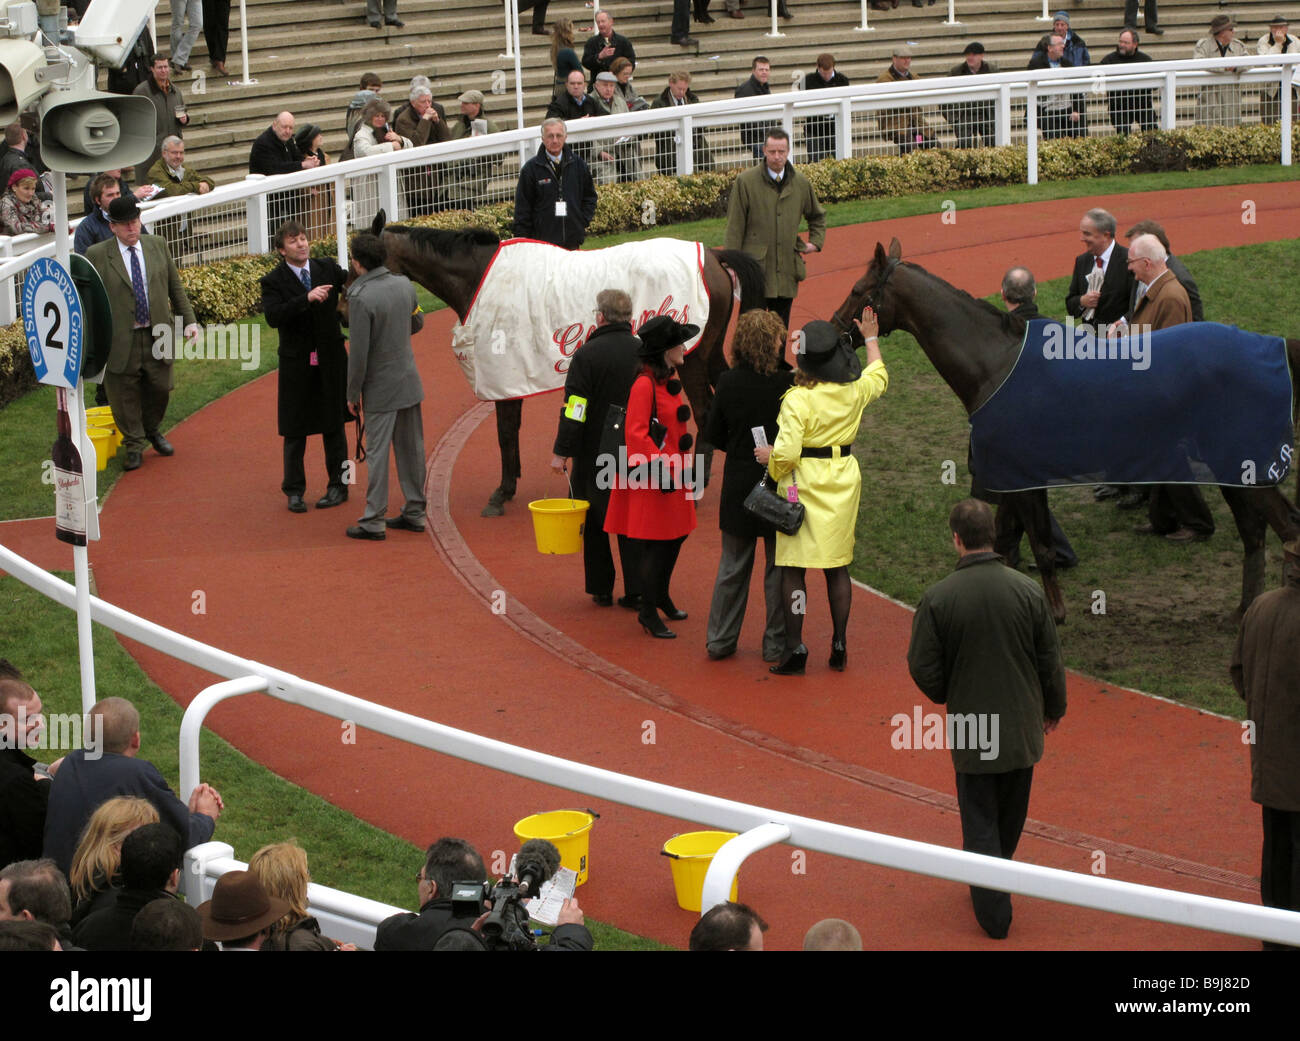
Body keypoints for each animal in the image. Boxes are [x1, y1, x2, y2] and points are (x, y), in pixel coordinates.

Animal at [366, 211, 764, 514]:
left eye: (360, 262)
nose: (352, 301)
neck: (480, 277)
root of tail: (711, 254)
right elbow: (512, 430)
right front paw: (513, 482)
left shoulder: (503, 371)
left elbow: (505, 432)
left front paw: (502, 492)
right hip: (710, 349)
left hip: (690, 354)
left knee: (704, 409)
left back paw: (696, 485)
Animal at [832, 239, 1300, 621]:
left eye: (856, 290)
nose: (833, 329)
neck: (995, 362)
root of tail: (1271, 345)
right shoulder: (1012, 477)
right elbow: (1010, 539)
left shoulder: (1019, 477)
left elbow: (1037, 545)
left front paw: (1054, 616)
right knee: (1254, 534)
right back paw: (1243, 612)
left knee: (1286, 528)